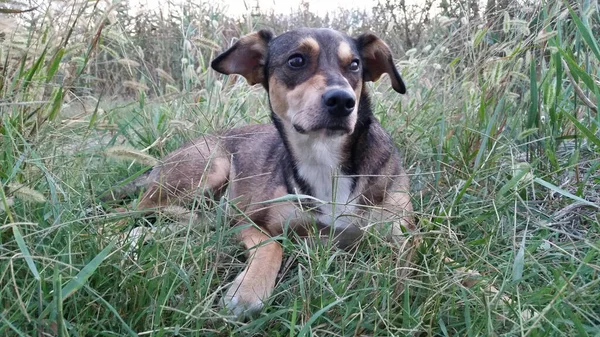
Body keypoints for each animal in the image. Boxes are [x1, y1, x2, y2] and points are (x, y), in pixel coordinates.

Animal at [109, 27, 418, 316]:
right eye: (296, 60)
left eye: (354, 65)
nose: (342, 101)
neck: (323, 158)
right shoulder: (247, 221)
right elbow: (272, 246)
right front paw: (248, 292)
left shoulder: (404, 236)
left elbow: (404, 277)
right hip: (205, 172)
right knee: (122, 214)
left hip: (200, 215)